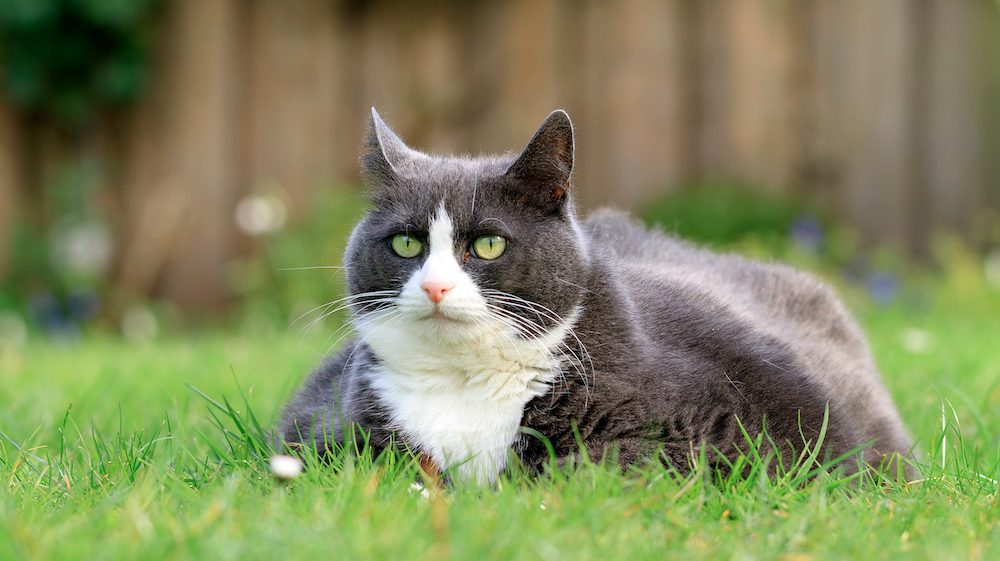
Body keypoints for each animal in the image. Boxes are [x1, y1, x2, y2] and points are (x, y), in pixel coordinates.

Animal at [276, 107, 916, 484]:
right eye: (406, 243)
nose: (435, 285)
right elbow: (362, 463)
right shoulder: (330, 421)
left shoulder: (724, 417)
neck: (465, 381)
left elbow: (595, 470)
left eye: (488, 245)